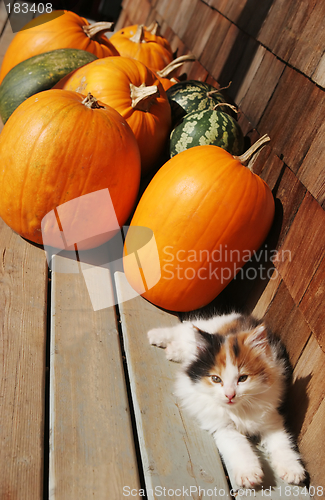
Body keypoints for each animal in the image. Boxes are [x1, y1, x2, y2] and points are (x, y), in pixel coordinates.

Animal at [148, 312, 306, 488]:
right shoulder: (224, 426)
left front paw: (292, 469)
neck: (239, 409)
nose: (230, 395)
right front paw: (249, 473)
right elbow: (239, 447)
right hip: (206, 326)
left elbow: (282, 443)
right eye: (216, 379)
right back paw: (156, 335)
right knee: (183, 328)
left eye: (243, 378)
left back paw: (172, 350)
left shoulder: (271, 419)